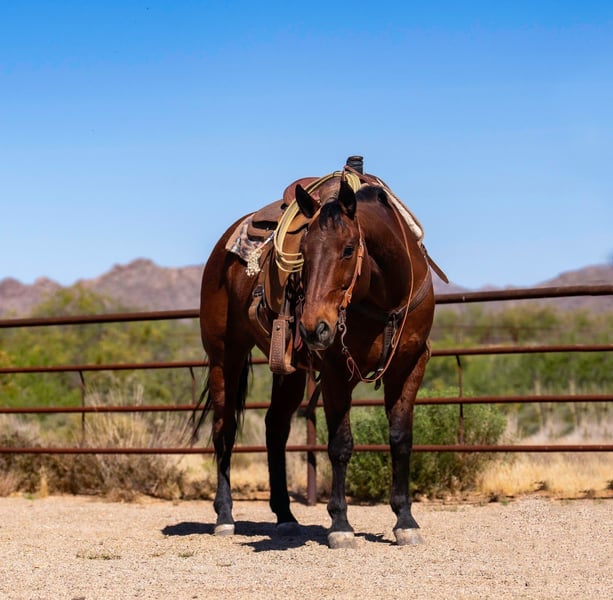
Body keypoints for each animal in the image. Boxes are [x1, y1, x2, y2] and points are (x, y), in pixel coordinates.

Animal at [195, 160, 438, 548]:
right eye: (304, 254)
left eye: (349, 249)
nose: (314, 327)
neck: (385, 300)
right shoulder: (338, 371)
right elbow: (340, 444)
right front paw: (340, 525)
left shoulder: (410, 365)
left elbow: (401, 439)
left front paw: (405, 520)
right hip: (225, 355)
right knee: (224, 428)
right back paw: (225, 516)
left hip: (289, 370)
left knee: (275, 426)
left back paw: (284, 516)